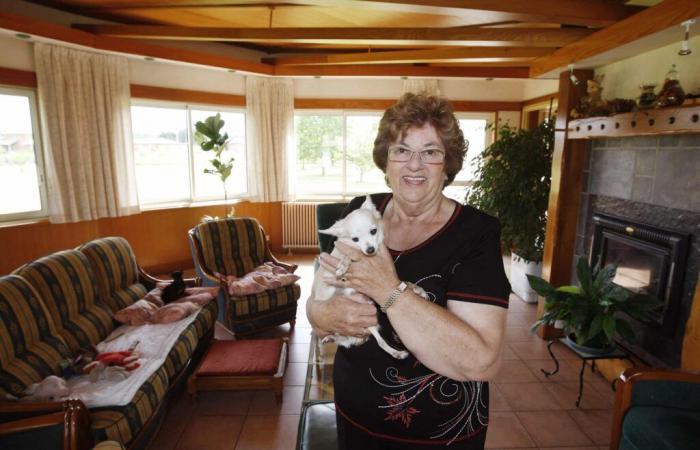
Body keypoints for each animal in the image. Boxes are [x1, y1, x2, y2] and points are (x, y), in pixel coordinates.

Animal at [314, 196, 410, 358]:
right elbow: (345, 256)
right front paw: (343, 265)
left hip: (369, 322)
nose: (370, 249)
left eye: (373, 231)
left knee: (380, 342)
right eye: (355, 239)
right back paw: (329, 337)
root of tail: (350, 338)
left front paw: (417, 289)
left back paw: (395, 353)